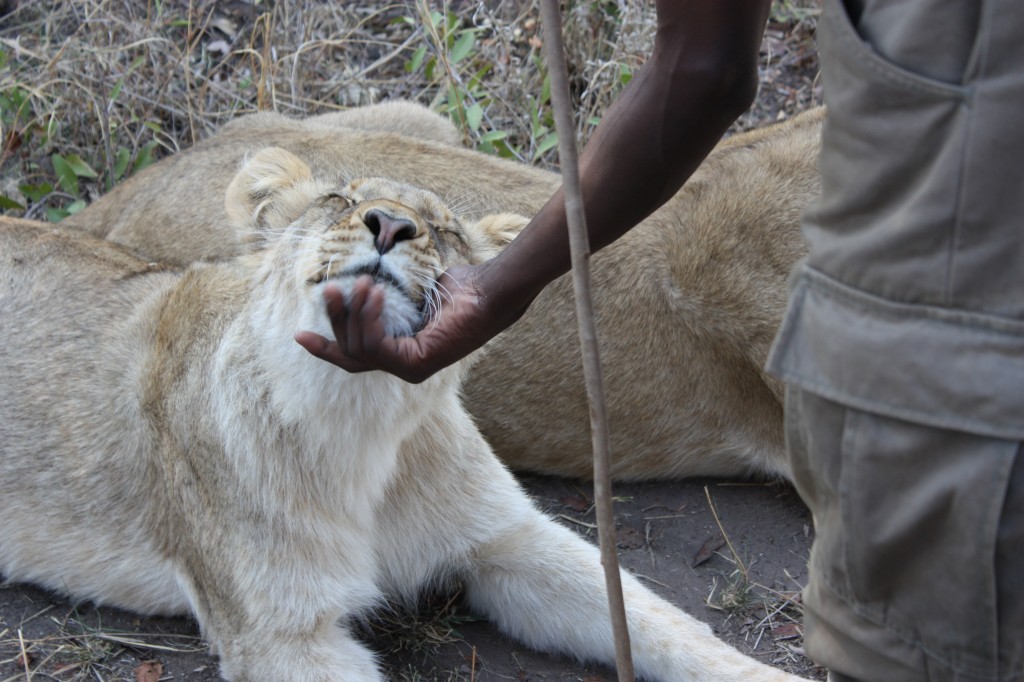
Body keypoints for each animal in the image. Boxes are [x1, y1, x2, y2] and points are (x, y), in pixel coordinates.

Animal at [0, 150, 798, 679]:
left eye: (443, 229)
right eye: (338, 198)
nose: (389, 225)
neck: (363, 415)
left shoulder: (507, 537)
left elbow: (665, 624)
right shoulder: (281, 634)